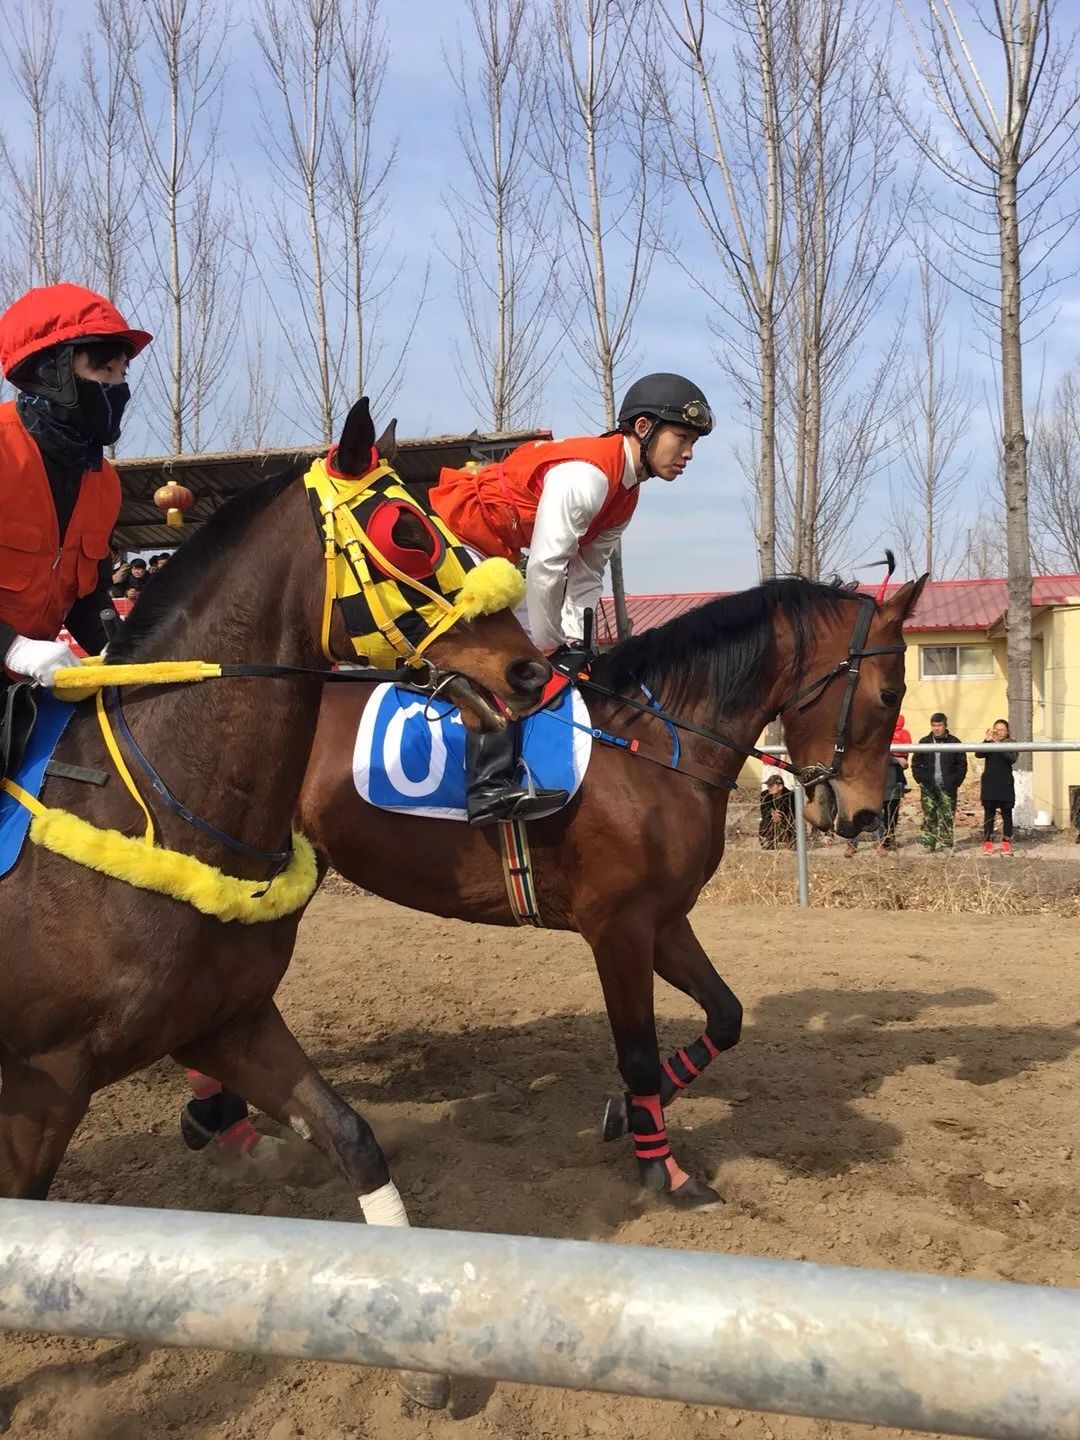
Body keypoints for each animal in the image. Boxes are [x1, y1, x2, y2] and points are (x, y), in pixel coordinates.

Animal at [0, 394, 544, 1405]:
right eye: (409, 529)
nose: (529, 672)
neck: (145, 804)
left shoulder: (229, 1022)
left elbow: (352, 1136)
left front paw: (422, 1361)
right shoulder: (41, 1082)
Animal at [296, 567, 933, 1209]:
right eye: (890, 695)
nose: (863, 815)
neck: (653, 748)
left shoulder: (664, 919)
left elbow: (726, 1015)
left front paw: (627, 1114)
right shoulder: (619, 930)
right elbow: (640, 1055)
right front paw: (662, 1171)